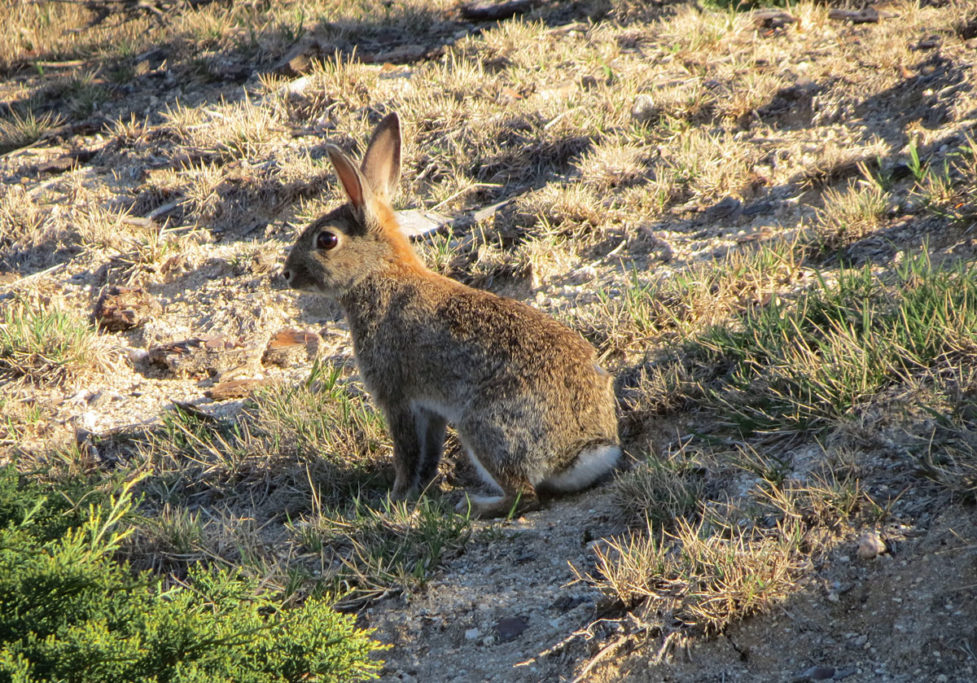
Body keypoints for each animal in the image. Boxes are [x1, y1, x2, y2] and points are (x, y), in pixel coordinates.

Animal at [282, 113, 616, 520]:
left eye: (327, 240)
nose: (287, 274)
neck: (380, 274)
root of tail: (585, 451)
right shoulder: (430, 408)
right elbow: (428, 455)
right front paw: (418, 491)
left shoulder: (397, 397)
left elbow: (407, 452)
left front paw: (395, 496)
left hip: (484, 427)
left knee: (524, 495)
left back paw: (473, 505)